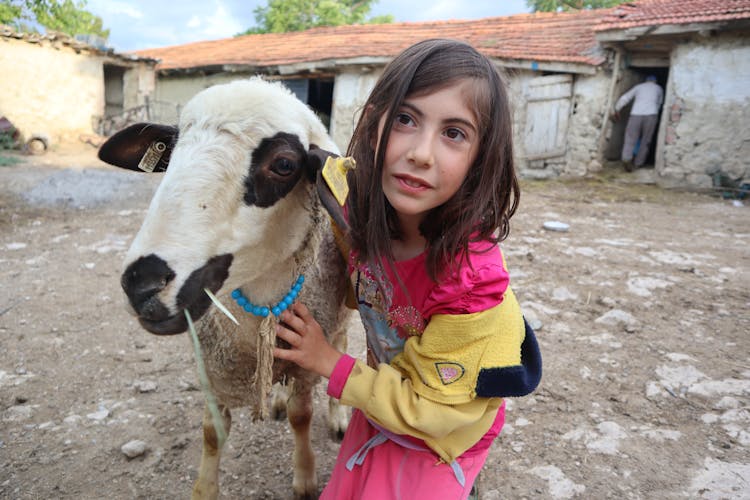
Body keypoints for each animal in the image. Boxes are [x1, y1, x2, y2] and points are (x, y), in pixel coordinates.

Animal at [98, 76, 354, 498]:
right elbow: (212, 434)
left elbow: (301, 416)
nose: (143, 284)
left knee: (342, 347)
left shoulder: (308, 353)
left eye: (284, 164)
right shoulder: (212, 367)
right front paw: (204, 488)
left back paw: (338, 418)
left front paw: (305, 477)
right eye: (170, 152)